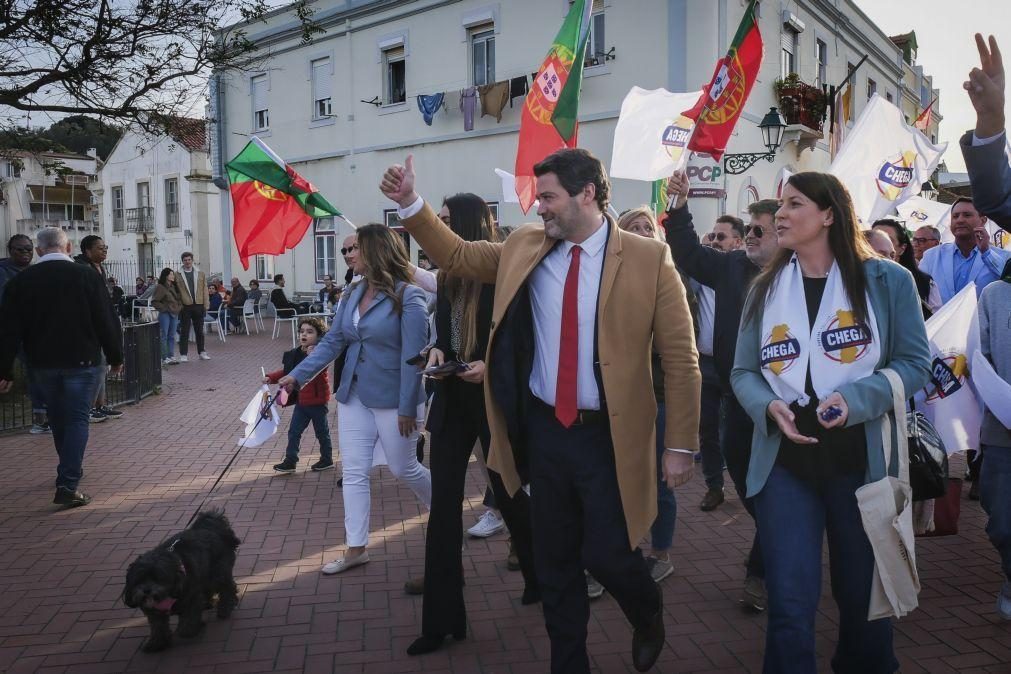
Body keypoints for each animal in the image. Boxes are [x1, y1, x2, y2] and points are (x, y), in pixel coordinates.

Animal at [122, 511, 238, 654]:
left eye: (158, 578)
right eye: (140, 579)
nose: (147, 590)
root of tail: (212, 526)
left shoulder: (190, 597)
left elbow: (189, 617)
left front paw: (188, 630)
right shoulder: (154, 611)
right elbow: (158, 627)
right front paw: (156, 643)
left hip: (217, 572)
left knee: (227, 588)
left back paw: (225, 608)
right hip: (204, 573)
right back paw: (206, 603)